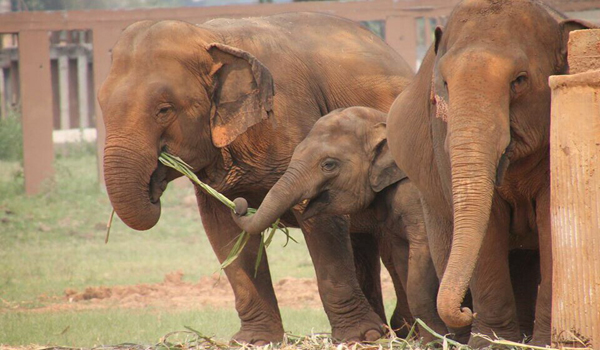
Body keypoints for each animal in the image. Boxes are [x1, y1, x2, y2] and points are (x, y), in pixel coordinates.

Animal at [99, 12, 418, 344]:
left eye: (164, 110)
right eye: (100, 105)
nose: (154, 182)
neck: (210, 37)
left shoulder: (292, 116)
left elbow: (324, 223)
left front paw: (360, 337)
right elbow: (223, 230)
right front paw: (255, 340)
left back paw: (401, 331)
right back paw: (387, 331)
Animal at [232, 106, 452, 342]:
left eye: (329, 165)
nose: (239, 204)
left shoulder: (415, 197)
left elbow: (422, 250)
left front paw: (435, 341)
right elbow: (403, 257)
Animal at [386, 0, 592, 346]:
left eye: (519, 80)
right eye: (444, 84)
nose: (466, 311)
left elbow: (550, 218)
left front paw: (541, 343)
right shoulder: (441, 134)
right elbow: (488, 226)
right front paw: (489, 343)